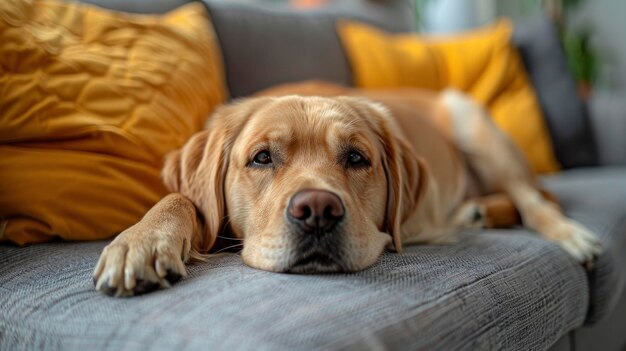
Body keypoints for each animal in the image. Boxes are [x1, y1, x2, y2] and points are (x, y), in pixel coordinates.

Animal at [92, 82, 600, 296]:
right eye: (262, 158)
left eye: (356, 158)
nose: (317, 210)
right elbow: (179, 198)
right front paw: (140, 241)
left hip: (473, 122)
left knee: (534, 201)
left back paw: (572, 235)